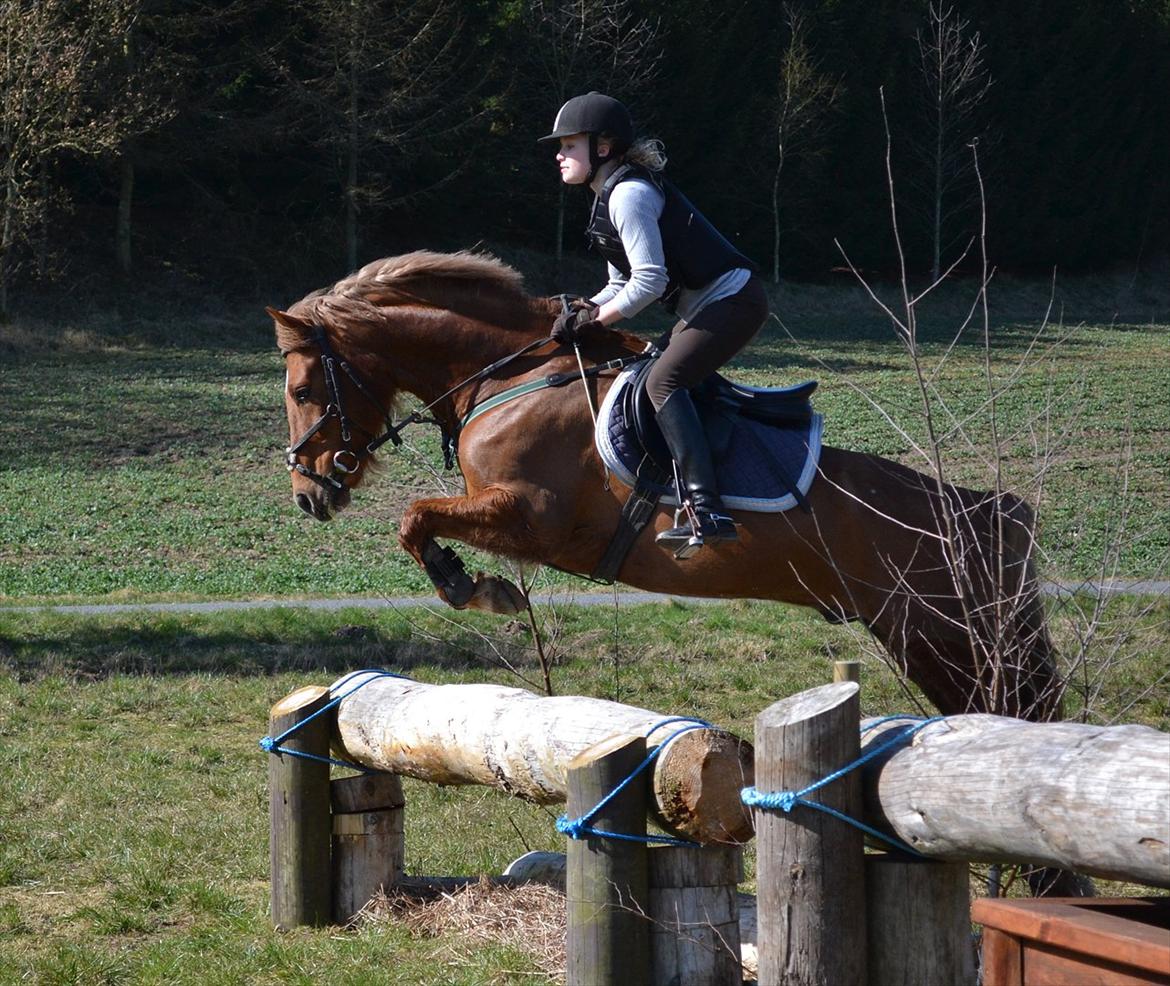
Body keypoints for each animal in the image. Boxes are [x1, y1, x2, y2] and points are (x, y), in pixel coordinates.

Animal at [271, 250, 1062, 720]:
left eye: (305, 390)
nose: (310, 494)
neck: (508, 374)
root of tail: (990, 512)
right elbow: (418, 519)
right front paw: (477, 585)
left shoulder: (533, 517)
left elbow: (414, 516)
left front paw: (476, 588)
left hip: (939, 636)